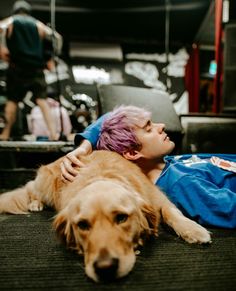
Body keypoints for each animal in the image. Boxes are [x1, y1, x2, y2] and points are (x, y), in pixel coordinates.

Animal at [0, 151, 210, 282]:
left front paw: (193, 230)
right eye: (82, 225)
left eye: (121, 218)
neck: (104, 176)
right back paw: (35, 203)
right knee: (29, 188)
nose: (105, 267)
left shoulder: (157, 197)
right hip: (45, 182)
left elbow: (171, 212)